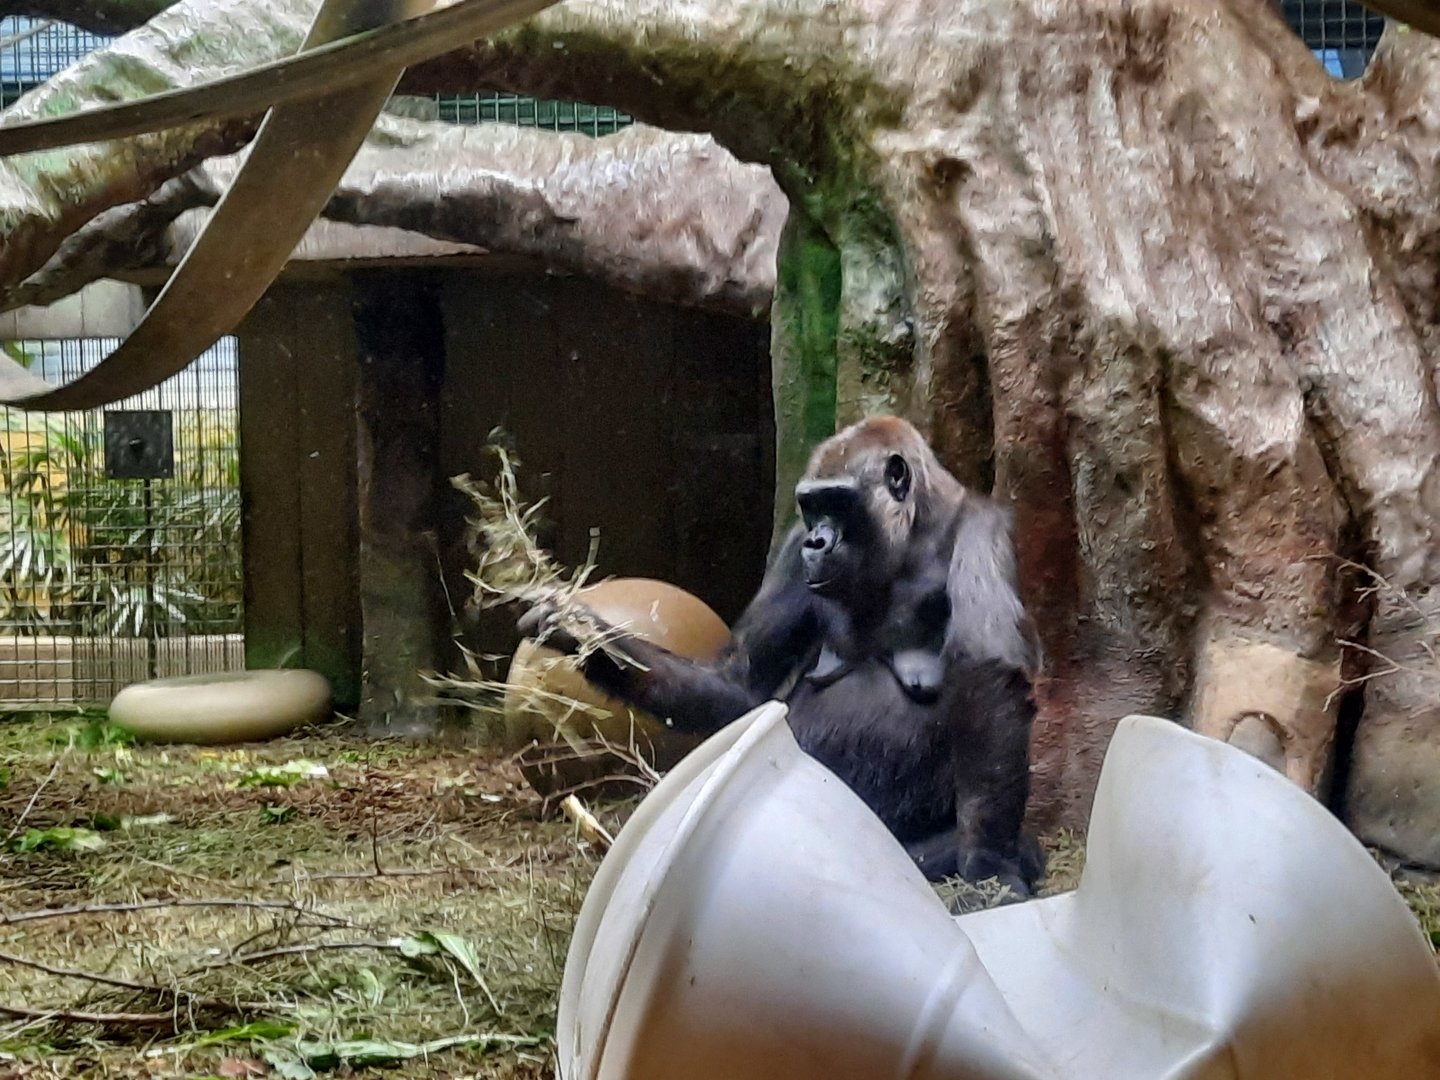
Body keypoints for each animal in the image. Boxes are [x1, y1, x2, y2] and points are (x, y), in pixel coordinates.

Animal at [517, 415, 1044, 897]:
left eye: (839, 502)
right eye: (811, 507)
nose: (817, 542)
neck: (914, 530)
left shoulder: (983, 530)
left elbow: (988, 677)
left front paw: (992, 866)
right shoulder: (793, 551)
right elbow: (739, 681)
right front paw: (582, 634)